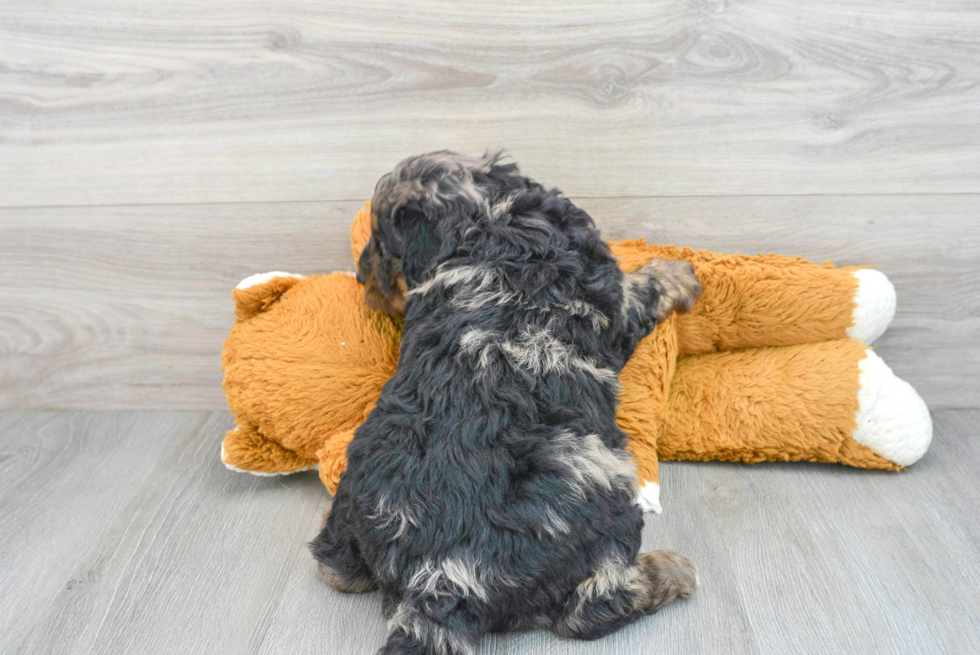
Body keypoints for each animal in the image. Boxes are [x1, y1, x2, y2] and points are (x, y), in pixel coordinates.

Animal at [310, 151, 700, 652]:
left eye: (380, 241)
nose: (361, 278)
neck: (481, 218)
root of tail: (436, 581)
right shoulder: (619, 302)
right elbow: (644, 287)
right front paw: (679, 272)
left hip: (351, 503)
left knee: (335, 567)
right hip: (597, 488)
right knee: (592, 608)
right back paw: (671, 571)